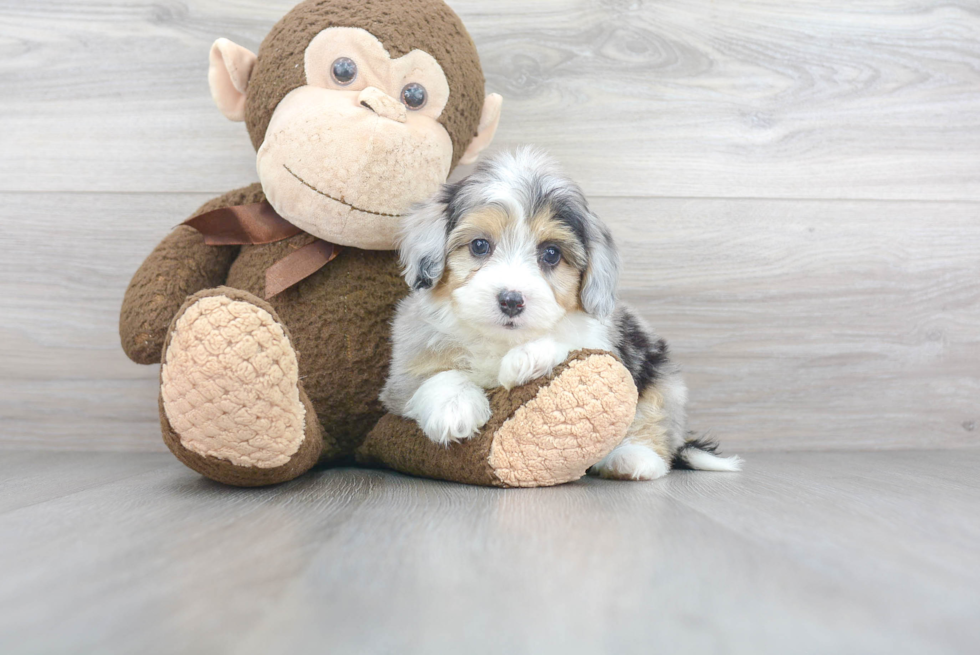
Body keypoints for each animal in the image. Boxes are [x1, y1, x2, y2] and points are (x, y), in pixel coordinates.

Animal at [378, 149, 740, 480]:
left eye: (551, 254)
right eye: (480, 246)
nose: (511, 300)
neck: (502, 339)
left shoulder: (603, 342)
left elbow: (572, 344)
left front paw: (527, 358)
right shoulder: (401, 377)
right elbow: (437, 375)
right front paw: (454, 409)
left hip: (660, 375)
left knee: (653, 420)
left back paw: (633, 459)